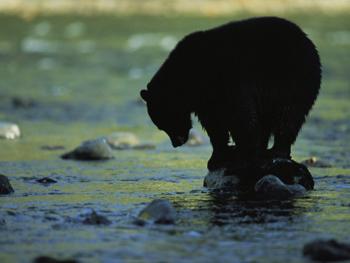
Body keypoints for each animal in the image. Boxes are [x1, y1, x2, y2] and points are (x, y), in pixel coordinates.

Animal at [141, 17, 322, 173]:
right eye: (161, 126)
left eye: (166, 122)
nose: (177, 143)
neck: (192, 76)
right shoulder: (205, 100)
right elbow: (214, 124)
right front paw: (217, 157)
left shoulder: (227, 80)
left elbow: (240, 116)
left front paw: (242, 157)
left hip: (293, 79)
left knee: (288, 114)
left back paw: (275, 150)